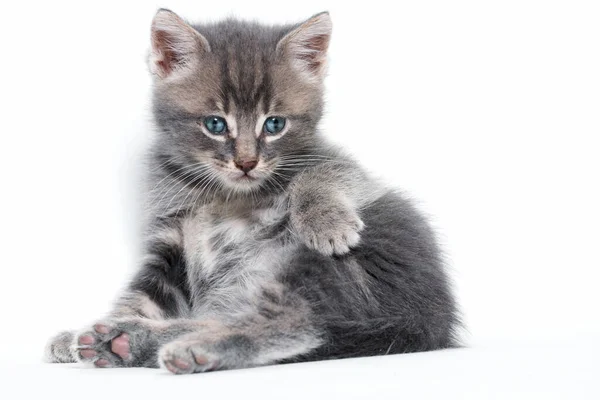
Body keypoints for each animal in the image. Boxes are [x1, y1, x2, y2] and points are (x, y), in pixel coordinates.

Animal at [47, 9, 460, 374]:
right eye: (215, 124)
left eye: (274, 124)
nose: (246, 162)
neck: (222, 195)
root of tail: (430, 320)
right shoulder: (171, 242)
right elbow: (141, 296)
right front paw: (89, 330)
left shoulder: (342, 168)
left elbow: (328, 173)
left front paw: (326, 221)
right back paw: (125, 340)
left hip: (331, 264)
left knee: (291, 321)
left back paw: (193, 348)